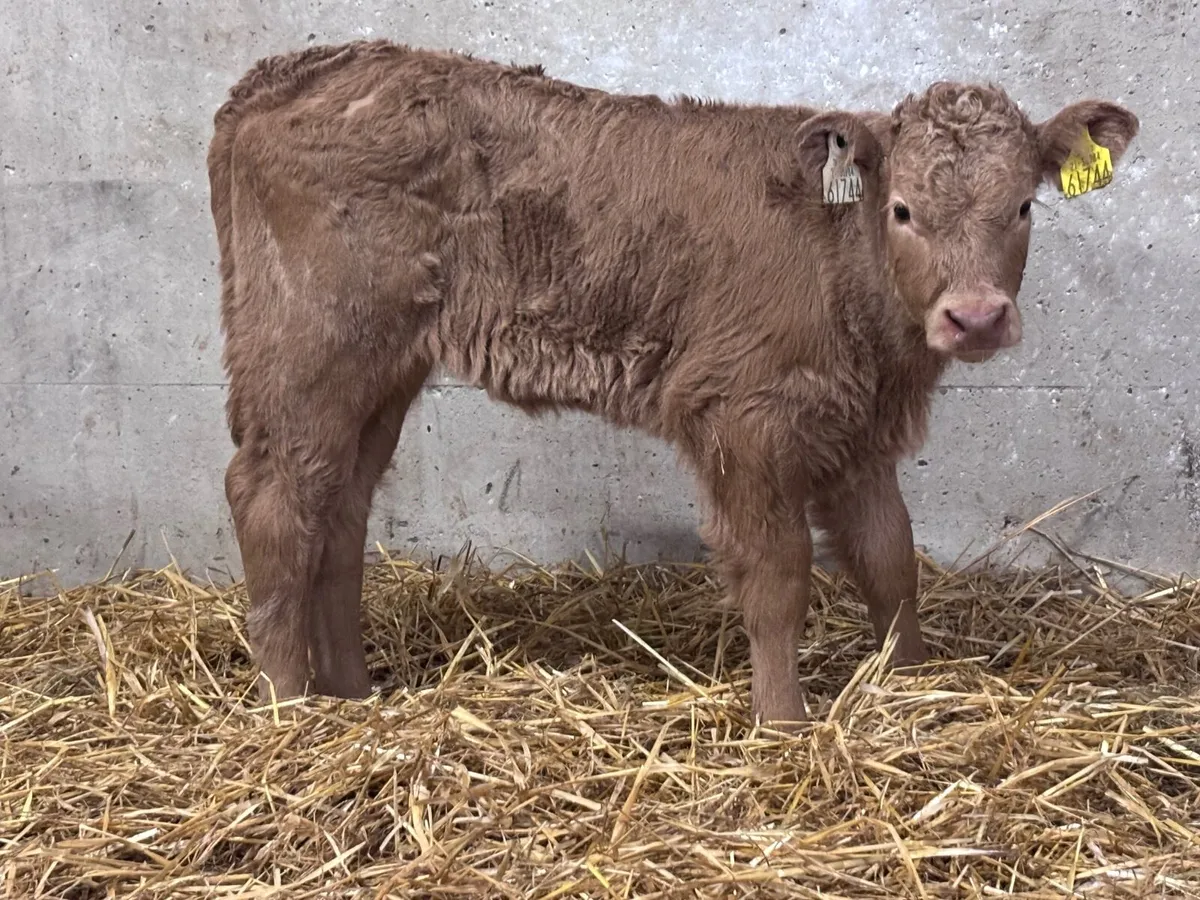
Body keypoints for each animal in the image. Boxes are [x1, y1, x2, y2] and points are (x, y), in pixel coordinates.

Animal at [205, 39, 1139, 726]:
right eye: (903, 209)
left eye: (1024, 205)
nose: (976, 318)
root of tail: (290, 73)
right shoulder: (741, 415)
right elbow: (778, 574)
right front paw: (783, 721)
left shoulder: (857, 425)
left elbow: (889, 557)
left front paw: (909, 686)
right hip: (310, 348)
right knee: (272, 496)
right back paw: (290, 709)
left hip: (381, 368)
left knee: (340, 506)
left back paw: (353, 693)